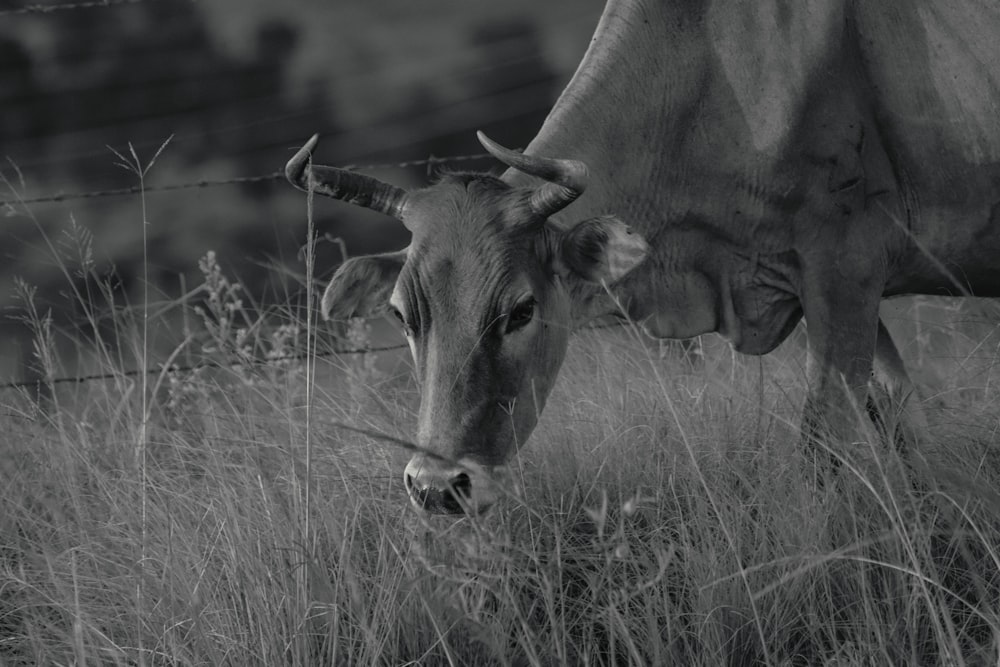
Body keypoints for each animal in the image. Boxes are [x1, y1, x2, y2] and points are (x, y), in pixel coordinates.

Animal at [284, 0, 1000, 516]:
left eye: (521, 311)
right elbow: (906, 427)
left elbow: (826, 446)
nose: (437, 486)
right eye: (403, 315)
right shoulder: (817, 293)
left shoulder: (843, 272)